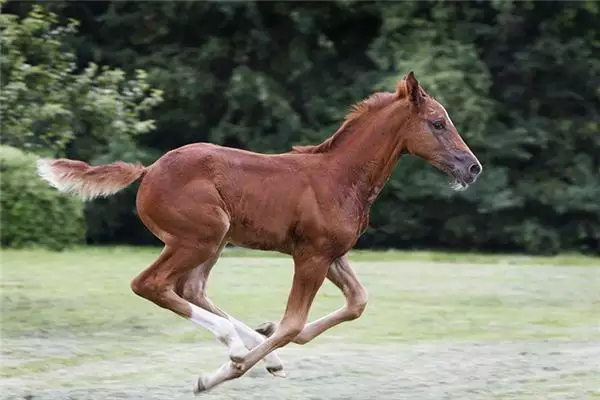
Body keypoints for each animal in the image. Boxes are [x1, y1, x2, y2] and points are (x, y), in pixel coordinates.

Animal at [35, 72, 482, 394]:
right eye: (438, 123)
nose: (472, 167)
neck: (341, 177)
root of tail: (147, 171)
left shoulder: (333, 254)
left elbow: (355, 303)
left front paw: (265, 341)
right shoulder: (311, 255)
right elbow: (293, 324)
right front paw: (217, 375)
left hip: (213, 241)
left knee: (190, 289)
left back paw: (257, 349)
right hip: (201, 236)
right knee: (151, 284)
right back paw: (235, 347)